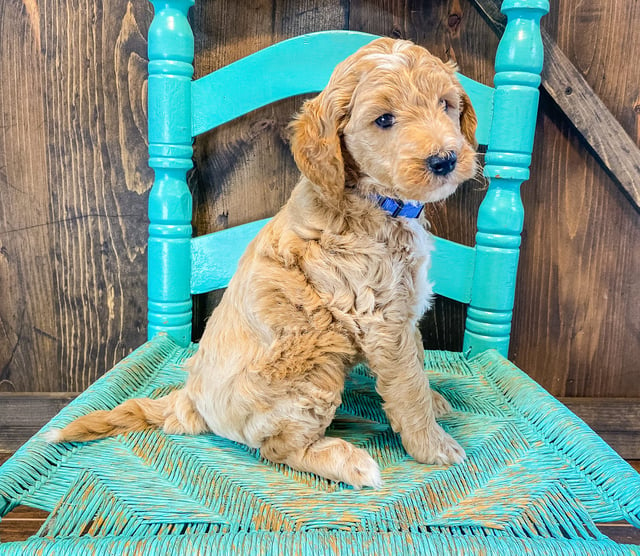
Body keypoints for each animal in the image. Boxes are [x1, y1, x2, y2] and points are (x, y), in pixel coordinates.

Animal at [48, 38, 476, 486]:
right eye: (385, 119)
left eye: (445, 104)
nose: (445, 160)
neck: (376, 202)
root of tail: (190, 400)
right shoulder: (380, 320)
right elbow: (407, 386)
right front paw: (433, 444)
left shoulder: (402, 314)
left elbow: (417, 361)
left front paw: (435, 402)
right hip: (313, 365)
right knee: (279, 448)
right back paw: (348, 462)